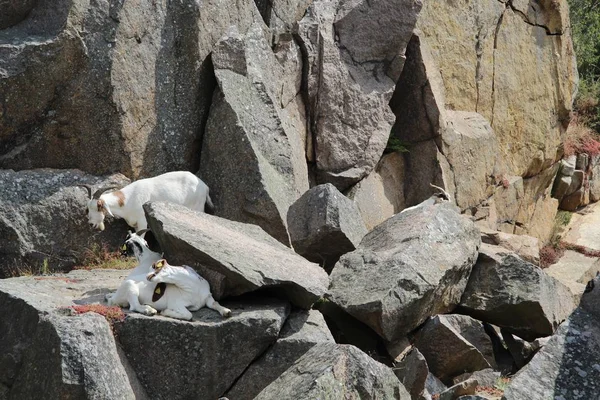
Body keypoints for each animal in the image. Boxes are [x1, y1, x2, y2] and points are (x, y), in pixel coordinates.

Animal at [78, 170, 212, 231]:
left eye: (99, 206)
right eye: (88, 208)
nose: (91, 224)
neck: (128, 199)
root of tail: (204, 186)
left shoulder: (143, 222)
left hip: (198, 208)